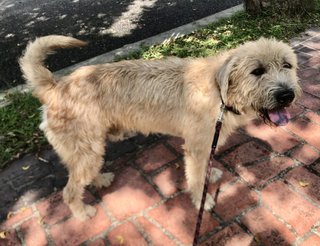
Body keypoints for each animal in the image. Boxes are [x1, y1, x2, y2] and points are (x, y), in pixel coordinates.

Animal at [19, 35, 300, 221]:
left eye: (287, 65)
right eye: (257, 71)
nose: (287, 95)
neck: (221, 92)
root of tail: (54, 86)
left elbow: (207, 168)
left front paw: (212, 176)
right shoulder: (195, 150)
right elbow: (196, 179)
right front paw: (203, 200)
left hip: (89, 150)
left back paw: (100, 180)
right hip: (85, 151)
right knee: (69, 191)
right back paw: (82, 213)